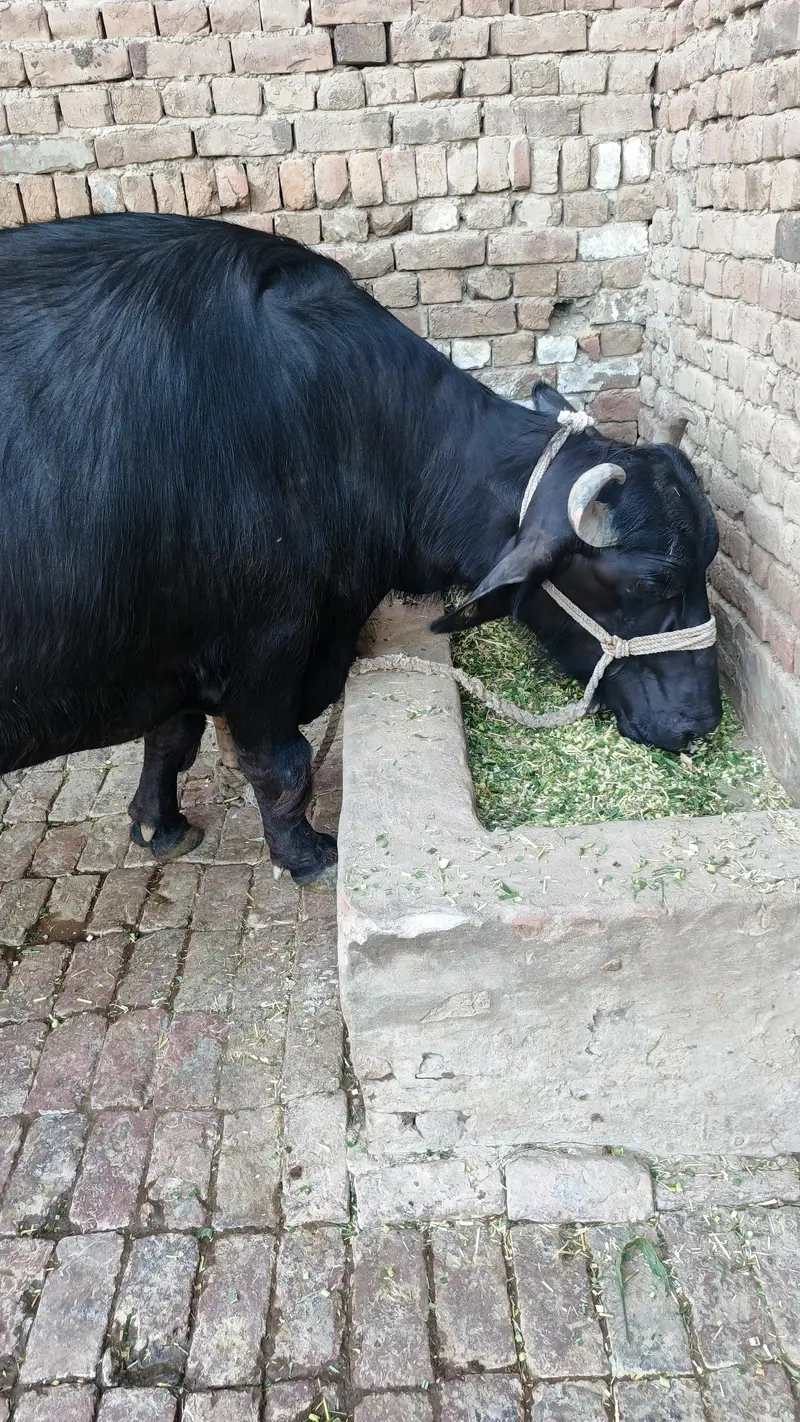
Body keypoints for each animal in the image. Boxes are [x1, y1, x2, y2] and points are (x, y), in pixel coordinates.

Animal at [0, 214, 721, 883]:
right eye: (650, 583)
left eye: (707, 564)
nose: (703, 722)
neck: (340, 424)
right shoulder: (268, 641)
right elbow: (277, 761)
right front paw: (307, 855)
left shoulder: (175, 650)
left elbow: (172, 735)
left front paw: (159, 824)